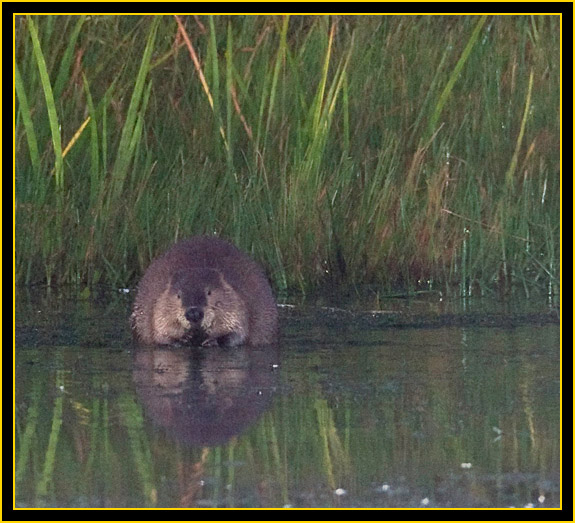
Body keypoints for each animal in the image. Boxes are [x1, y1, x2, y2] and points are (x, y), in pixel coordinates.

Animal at [133, 237, 282, 348]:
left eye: (209, 292)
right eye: (178, 295)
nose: (193, 313)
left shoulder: (238, 302)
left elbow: (238, 333)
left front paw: (212, 340)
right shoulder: (157, 304)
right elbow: (160, 333)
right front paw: (183, 339)